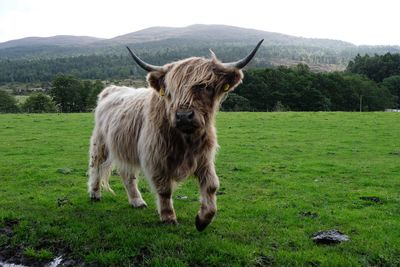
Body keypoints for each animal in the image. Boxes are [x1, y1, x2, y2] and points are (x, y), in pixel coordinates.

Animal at [87, 40, 262, 232]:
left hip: (126, 146)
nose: (184, 116)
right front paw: (168, 217)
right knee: (96, 165)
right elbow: (164, 189)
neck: (185, 140)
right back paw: (95, 193)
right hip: (100, 142)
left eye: (205, 86)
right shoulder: (156, 158)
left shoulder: (204, 157)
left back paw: (137, 201)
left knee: (127, 174)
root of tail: (112, 89)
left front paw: (203, 219)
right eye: (170, 91)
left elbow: (211, 186)